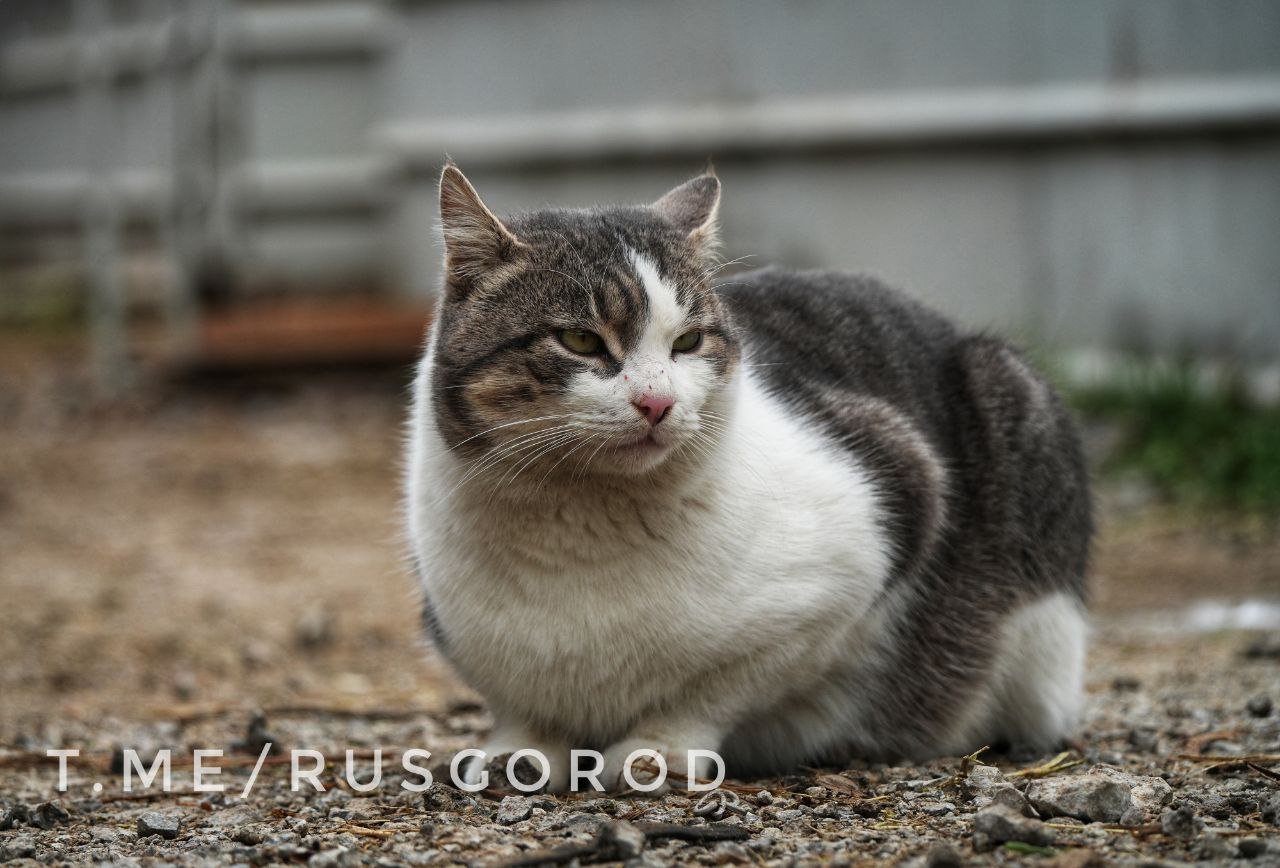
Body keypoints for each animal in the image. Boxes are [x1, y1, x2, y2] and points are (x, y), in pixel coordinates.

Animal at [407, 165, 1090, 793]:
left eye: (688, 342)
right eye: (579, 339)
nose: (657, 403)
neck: (577, 532)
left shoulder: (873, 529)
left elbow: (715, 689)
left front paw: (657, 751)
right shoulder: (463, 634)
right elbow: (520, 708)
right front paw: (519, 752)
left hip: (1011, 399)